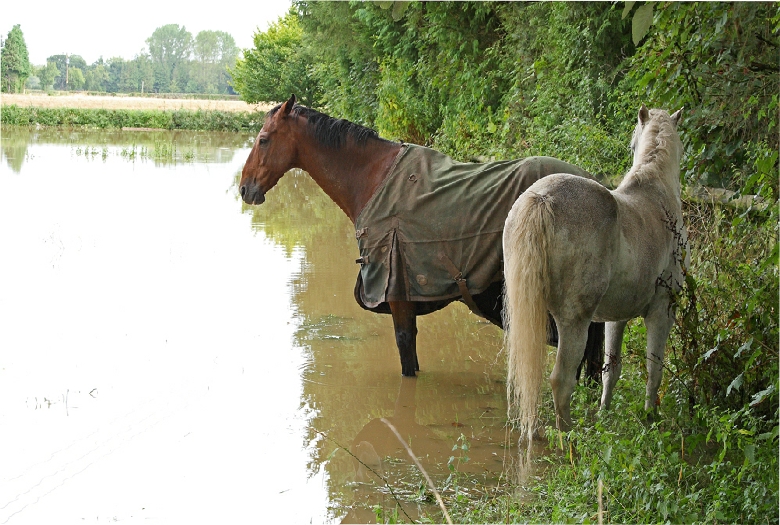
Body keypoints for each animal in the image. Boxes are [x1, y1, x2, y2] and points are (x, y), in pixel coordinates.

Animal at [241, 95, 608, 376]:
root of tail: (599, 188)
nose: (245, 189)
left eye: (264, 139)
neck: (373, 179)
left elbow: (407, 351)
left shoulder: (397, 291)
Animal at [502, 106, 684, 442]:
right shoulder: (661, 312)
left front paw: (604, 414)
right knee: (561, 380)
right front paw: (649, 418)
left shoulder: (616, 317)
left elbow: (611, 369)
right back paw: (569, 437)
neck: (657, 194)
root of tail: (541, 199)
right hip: (575, 322)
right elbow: (655, 369)